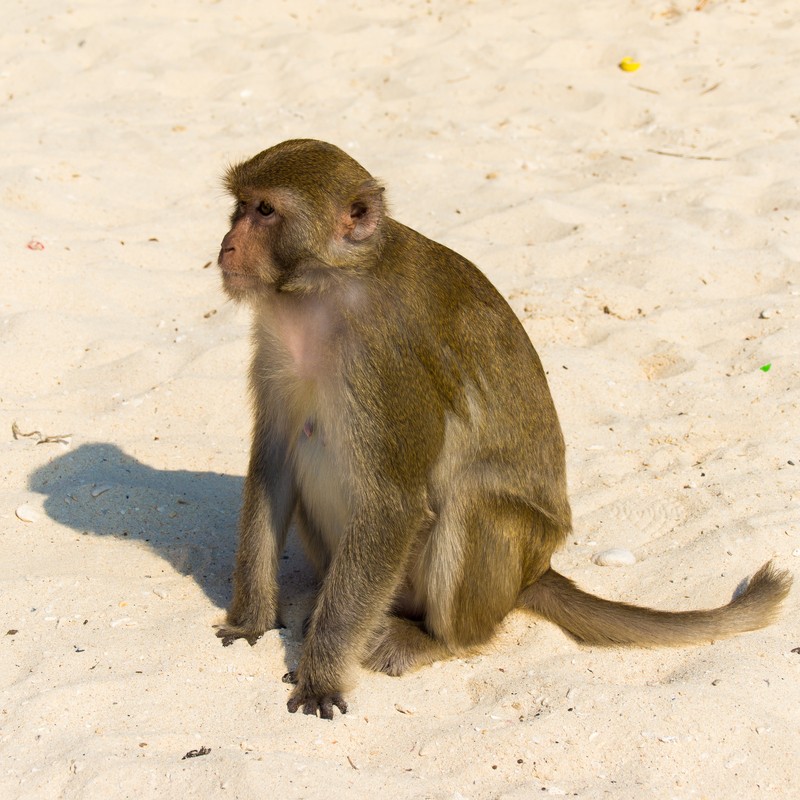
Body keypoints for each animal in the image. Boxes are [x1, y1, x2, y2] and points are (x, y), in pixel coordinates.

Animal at [214, 138, 792, 720]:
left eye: (265, 211)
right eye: (240, 206)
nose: (226, 246)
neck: (323, 288)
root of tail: (533, 574)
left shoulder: (384, 358)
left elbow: (390, 505)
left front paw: (319, 677)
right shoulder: (275, 341)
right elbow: (273, 466)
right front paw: (251, 620)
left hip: (501, 564)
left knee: (472, 499)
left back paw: (435, 639)